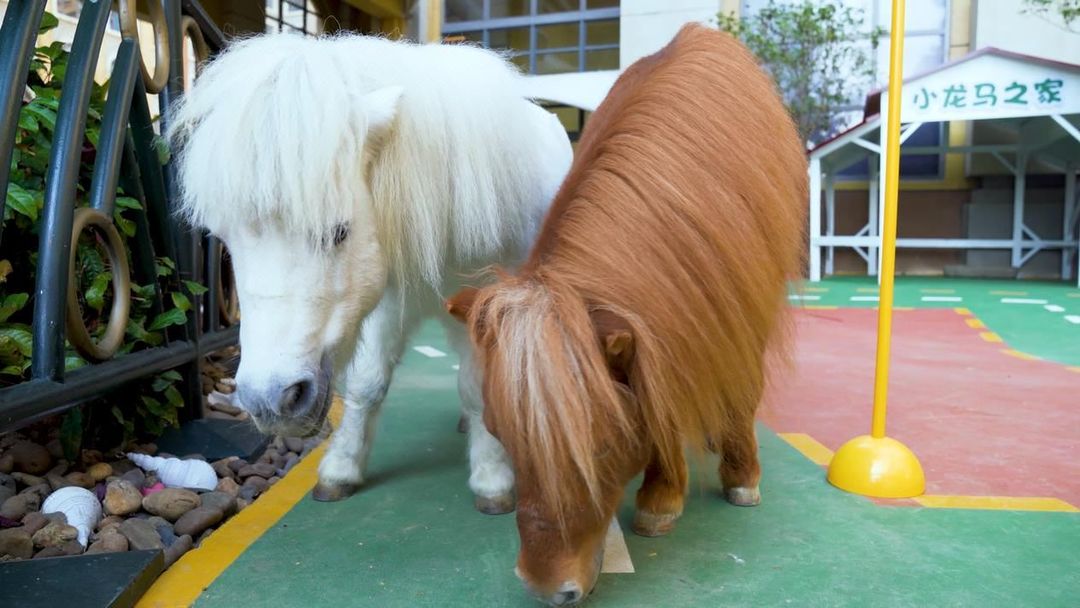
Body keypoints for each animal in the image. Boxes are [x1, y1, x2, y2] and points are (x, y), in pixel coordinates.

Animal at [166, 33, 573, 512]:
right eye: (224, 237)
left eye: (338, 231)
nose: (268, 401)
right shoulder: (389, 302)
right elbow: (366, 384)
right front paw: (341, 469)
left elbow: (477, 387)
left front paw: (492, 478)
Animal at [447, 24, 807, 605]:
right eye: (500, 433)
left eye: (603, 445)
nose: (546, 586)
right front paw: (665, 492)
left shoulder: (743, 313)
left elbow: (734, 394)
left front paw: (735, 478)